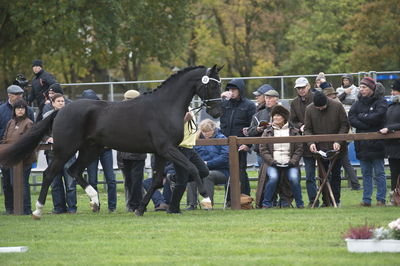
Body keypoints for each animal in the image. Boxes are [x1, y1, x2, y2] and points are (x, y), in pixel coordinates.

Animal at [0, 65, 223, 218]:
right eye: (212, 84)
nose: (217, 112)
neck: (164, 107)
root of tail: (60, 110)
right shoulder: (167, 149)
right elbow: (192, 168)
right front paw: (206, 200)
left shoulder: (161, 152)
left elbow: (158, 181)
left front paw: (140, 209)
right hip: (66, 150)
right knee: (49, 174)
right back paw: (37, 211)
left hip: (92, 149)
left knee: (74, 171)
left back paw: (95, 202)